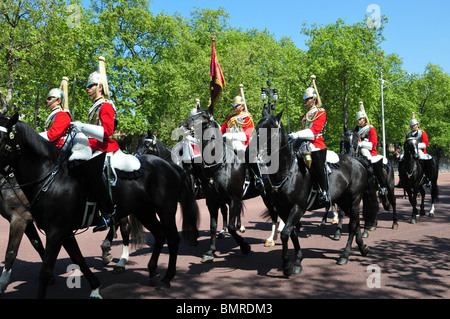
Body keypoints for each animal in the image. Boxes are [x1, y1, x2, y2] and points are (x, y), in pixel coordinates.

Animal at [0, 114, 199, 298]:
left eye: (3, 139)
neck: (51, 177)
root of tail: (169, 164)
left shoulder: (54, 230)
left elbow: (43, 271)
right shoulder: (63, 232)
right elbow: (78, 259)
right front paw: (95, 288)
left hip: (165, 209)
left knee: (172, 238)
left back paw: (166, 278)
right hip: (144, 211)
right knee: (159, 234)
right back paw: (151, 272)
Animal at [255, 112, 378, 278]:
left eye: (270, 129)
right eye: (257, 126)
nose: (251, 150)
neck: (287, 171)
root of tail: (357, 161)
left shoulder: (297, 208)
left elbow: (286, 233)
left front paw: (287, 266)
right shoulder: (282, 209)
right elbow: (292, 233)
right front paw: (298, 261)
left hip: (354, 198)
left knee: (353, 225)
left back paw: (345, 255)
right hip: (343, 200)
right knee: (356, 222)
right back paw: (362, 248)